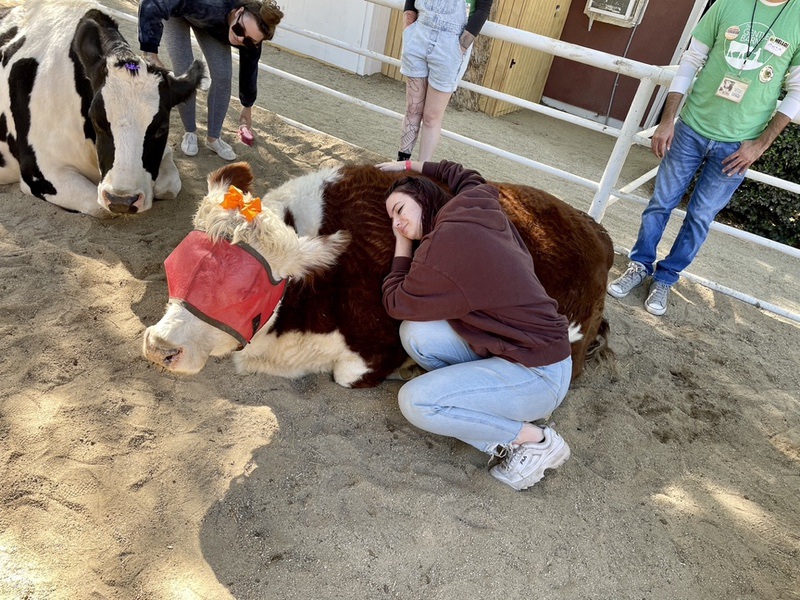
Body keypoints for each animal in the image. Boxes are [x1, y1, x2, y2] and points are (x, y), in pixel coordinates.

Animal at [0, 0, 206, 216]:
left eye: (162, 128)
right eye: (96, 120)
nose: (122, 200)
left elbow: (169, 186)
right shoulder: (39, 172)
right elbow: (98, 206)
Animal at [144, 159, 616, 386]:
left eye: (244, 291)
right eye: (174, 267)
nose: (159, 347)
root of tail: (594, 226)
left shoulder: (373, 350)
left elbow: (349, 375)